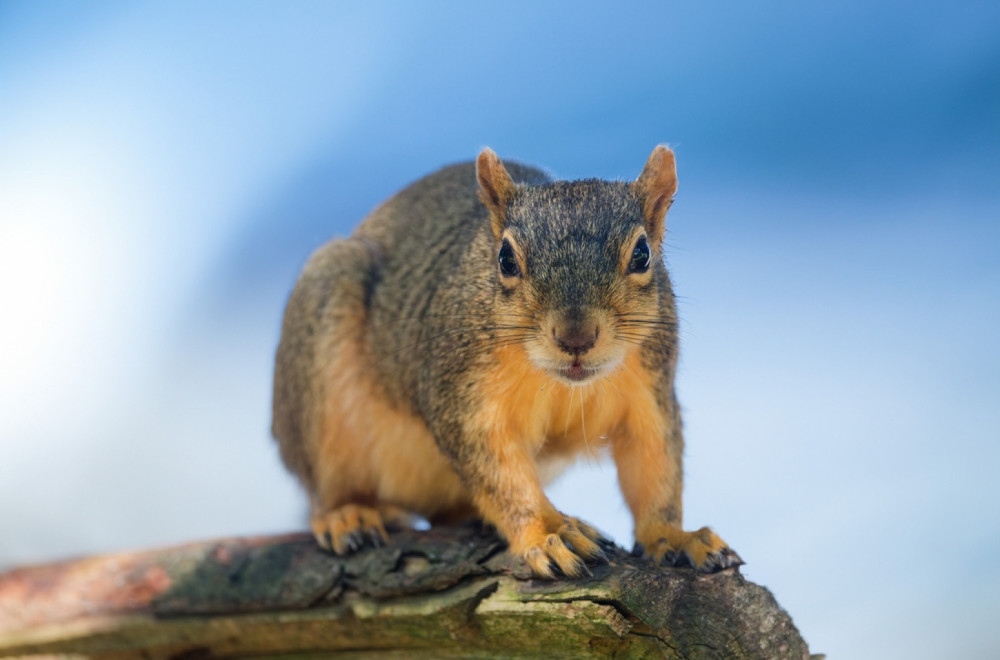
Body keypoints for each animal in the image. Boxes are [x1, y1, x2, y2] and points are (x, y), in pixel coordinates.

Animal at [274, 147, 744, 576]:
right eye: (505, 258)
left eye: (643, 254)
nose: (575, 337)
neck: (560, 383)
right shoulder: (460, 395)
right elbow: (499, 471)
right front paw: (550, 532)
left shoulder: (651, 387)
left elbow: (654, 462)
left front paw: (674, 536)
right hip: (320, 352)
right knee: (326, 487)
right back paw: (347, 513)